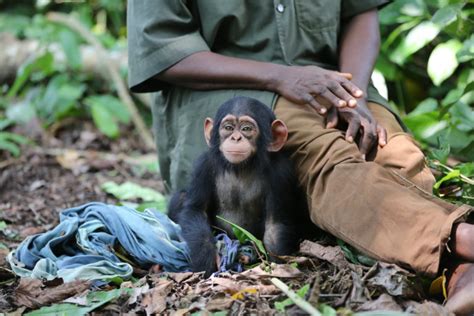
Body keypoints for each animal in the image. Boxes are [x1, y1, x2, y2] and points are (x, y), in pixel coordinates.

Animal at [168, 96, 310, 276]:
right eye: (228, 128)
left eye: (246, 128)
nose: (236, 138)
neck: (241, 167)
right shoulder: (204, 165)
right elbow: (196, 210)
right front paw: (205, 261)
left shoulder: (281, 173)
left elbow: (275, 226)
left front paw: (278, 268)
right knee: (181, 198)